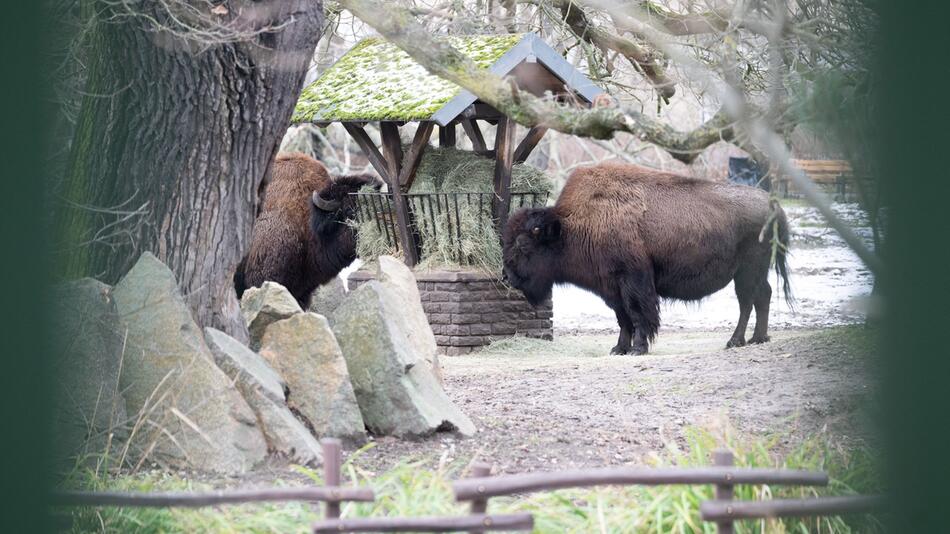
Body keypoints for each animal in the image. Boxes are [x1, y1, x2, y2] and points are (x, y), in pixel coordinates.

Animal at [502, 163, 792, 356]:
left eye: (523, 244)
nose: (506, 276)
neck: (571, 226)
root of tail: (773, 205)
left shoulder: (633, 281)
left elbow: (638, 314)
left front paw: (637, 349)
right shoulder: (611, 288)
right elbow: (623, 318)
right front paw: (618, 348)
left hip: (747, 272)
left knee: (747, 302)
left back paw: (735, 341)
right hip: (755, 272)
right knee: (762, 296)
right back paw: (759, 338)